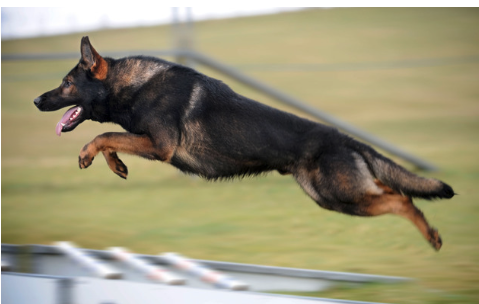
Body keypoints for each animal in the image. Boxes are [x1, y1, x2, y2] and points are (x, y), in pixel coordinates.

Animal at [33, 36, 454, 251]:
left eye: (67, 84)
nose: (36, 101)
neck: (133, 85)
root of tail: (345, 137)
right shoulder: (147, 141)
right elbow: (111, 138)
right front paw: (116, 164)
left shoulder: (159, 145)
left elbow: (103, 134)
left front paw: (89, 154)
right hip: (335, 196)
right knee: (392, 190)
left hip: (339, 195)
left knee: (402, 198)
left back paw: (433, 235)